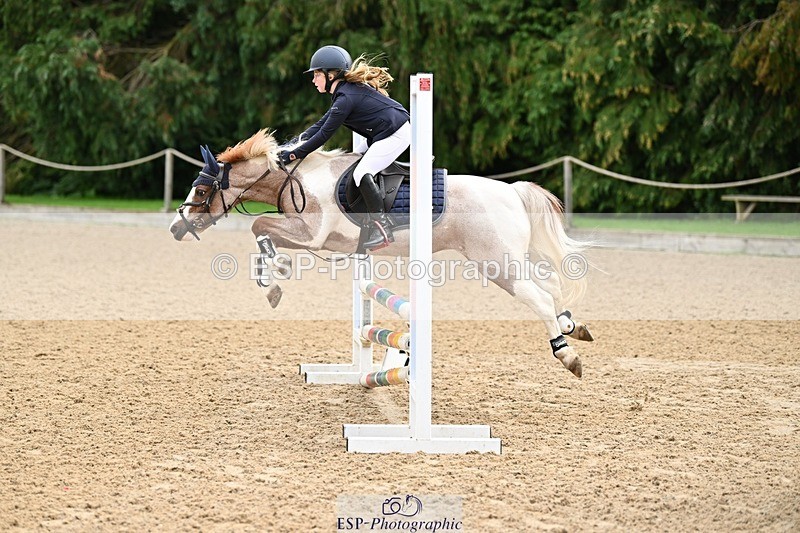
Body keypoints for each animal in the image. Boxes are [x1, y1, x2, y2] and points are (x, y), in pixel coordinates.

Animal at [169, 129, 594, 377]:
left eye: (202, 191)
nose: (176, 228)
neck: (297, 180)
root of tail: (512, 191)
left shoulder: (313, 236)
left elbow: (259, 228)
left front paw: (279, 272)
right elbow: (260, 234)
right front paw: (272, 283)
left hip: (496, 263)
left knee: (539, 297)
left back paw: (567, 354)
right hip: (509, 259)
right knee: (551, 287)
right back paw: (573, 326)